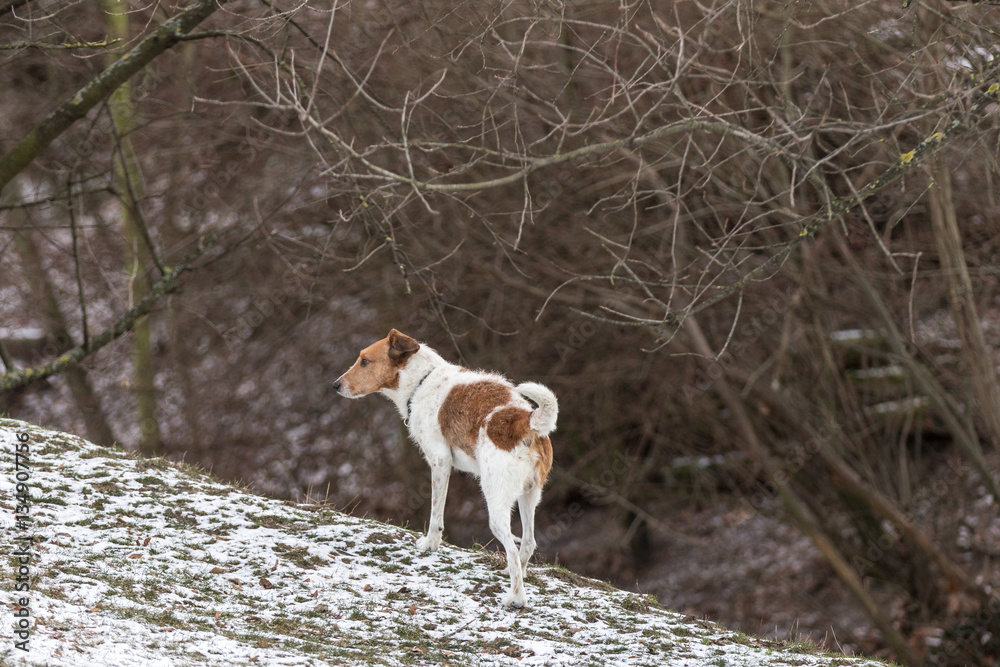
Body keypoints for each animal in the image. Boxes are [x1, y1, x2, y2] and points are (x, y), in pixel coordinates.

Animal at [334, 332, 556, 608]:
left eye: (364, 361)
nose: (335, 385)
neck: (421, 382)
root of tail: (525, 421)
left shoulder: (439, 463)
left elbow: (435, 513)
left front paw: (430, 544)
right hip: (529, 497)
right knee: (527, 543)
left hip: (495, 506)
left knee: (513, 550)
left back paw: (516, 597)